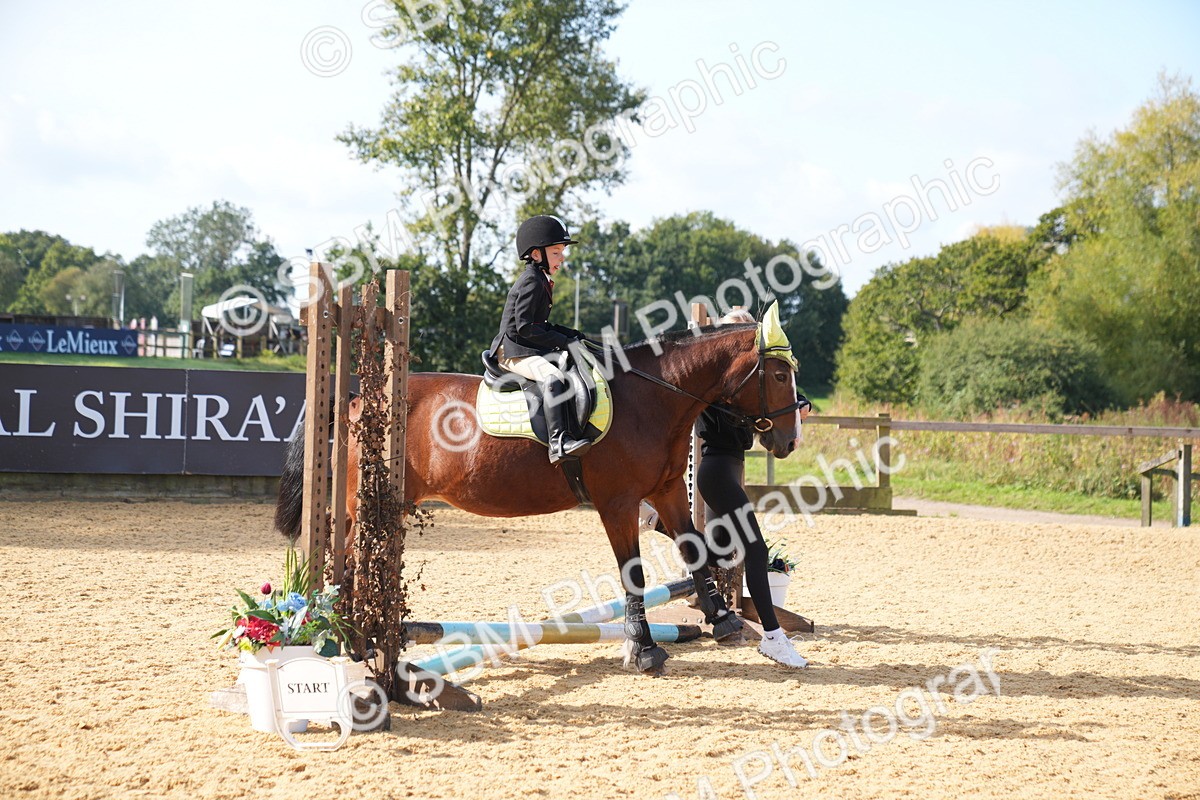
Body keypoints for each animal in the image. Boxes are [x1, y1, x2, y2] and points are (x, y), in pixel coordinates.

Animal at [275, 321, 803, 673]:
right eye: (779, 376)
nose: (789, 442)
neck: (653, 399)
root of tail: (358, 400)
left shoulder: (669, 490)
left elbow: (692, 546)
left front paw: (722, 618)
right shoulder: (617, 503)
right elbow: (631, 572)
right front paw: (643, 649)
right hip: (367, 506)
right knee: (348, 560)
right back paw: (351, 640)